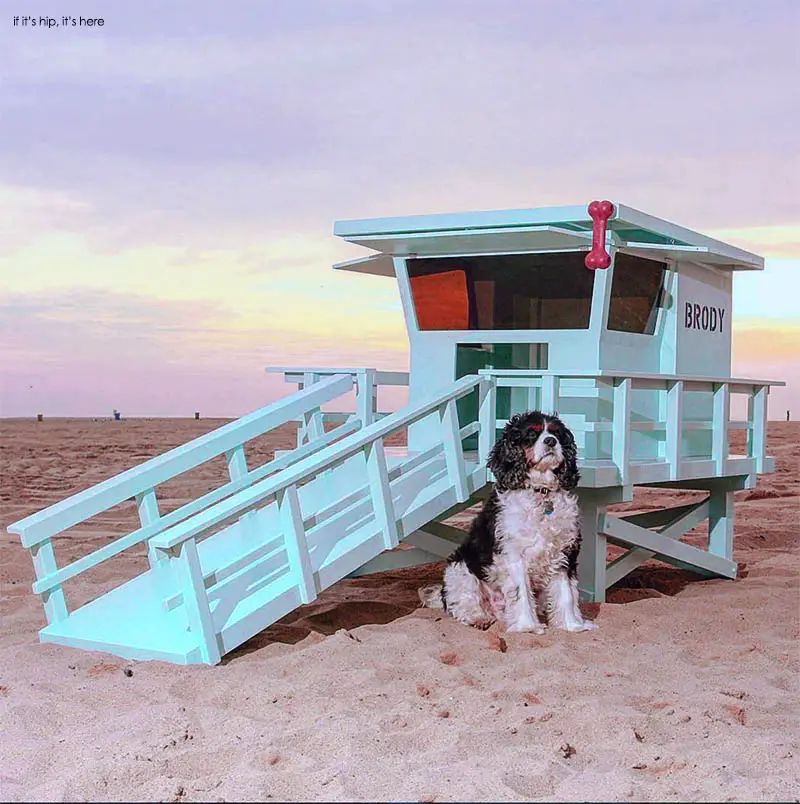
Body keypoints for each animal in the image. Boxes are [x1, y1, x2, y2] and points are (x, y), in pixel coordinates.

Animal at [422, 412, 596, 632]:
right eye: (531, 434)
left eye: (556, 433)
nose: (550, 441)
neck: (541, 492)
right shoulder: (514, 555)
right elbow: (521, 594)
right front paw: (527, 626)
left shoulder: (564, 553)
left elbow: (566, 593)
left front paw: (571, 625)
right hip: (460, 570)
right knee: (461, 604)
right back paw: (479, 618)